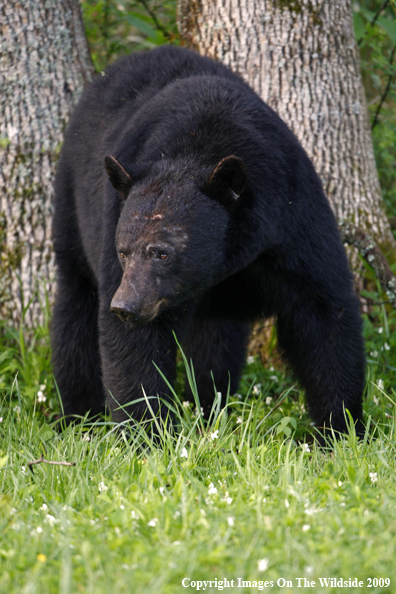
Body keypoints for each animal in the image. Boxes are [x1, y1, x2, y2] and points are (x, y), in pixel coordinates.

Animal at [52, 45, 366, 434]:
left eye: (162, 253)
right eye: (123, 252)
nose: (124, 306)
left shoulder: (293, 221)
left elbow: (323, 310)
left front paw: (340, 426)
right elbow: (135, 346)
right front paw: (147, 431)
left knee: (215, 342)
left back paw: (206, 405)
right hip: (72, 206)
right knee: (75, 312)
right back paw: (80, 417)